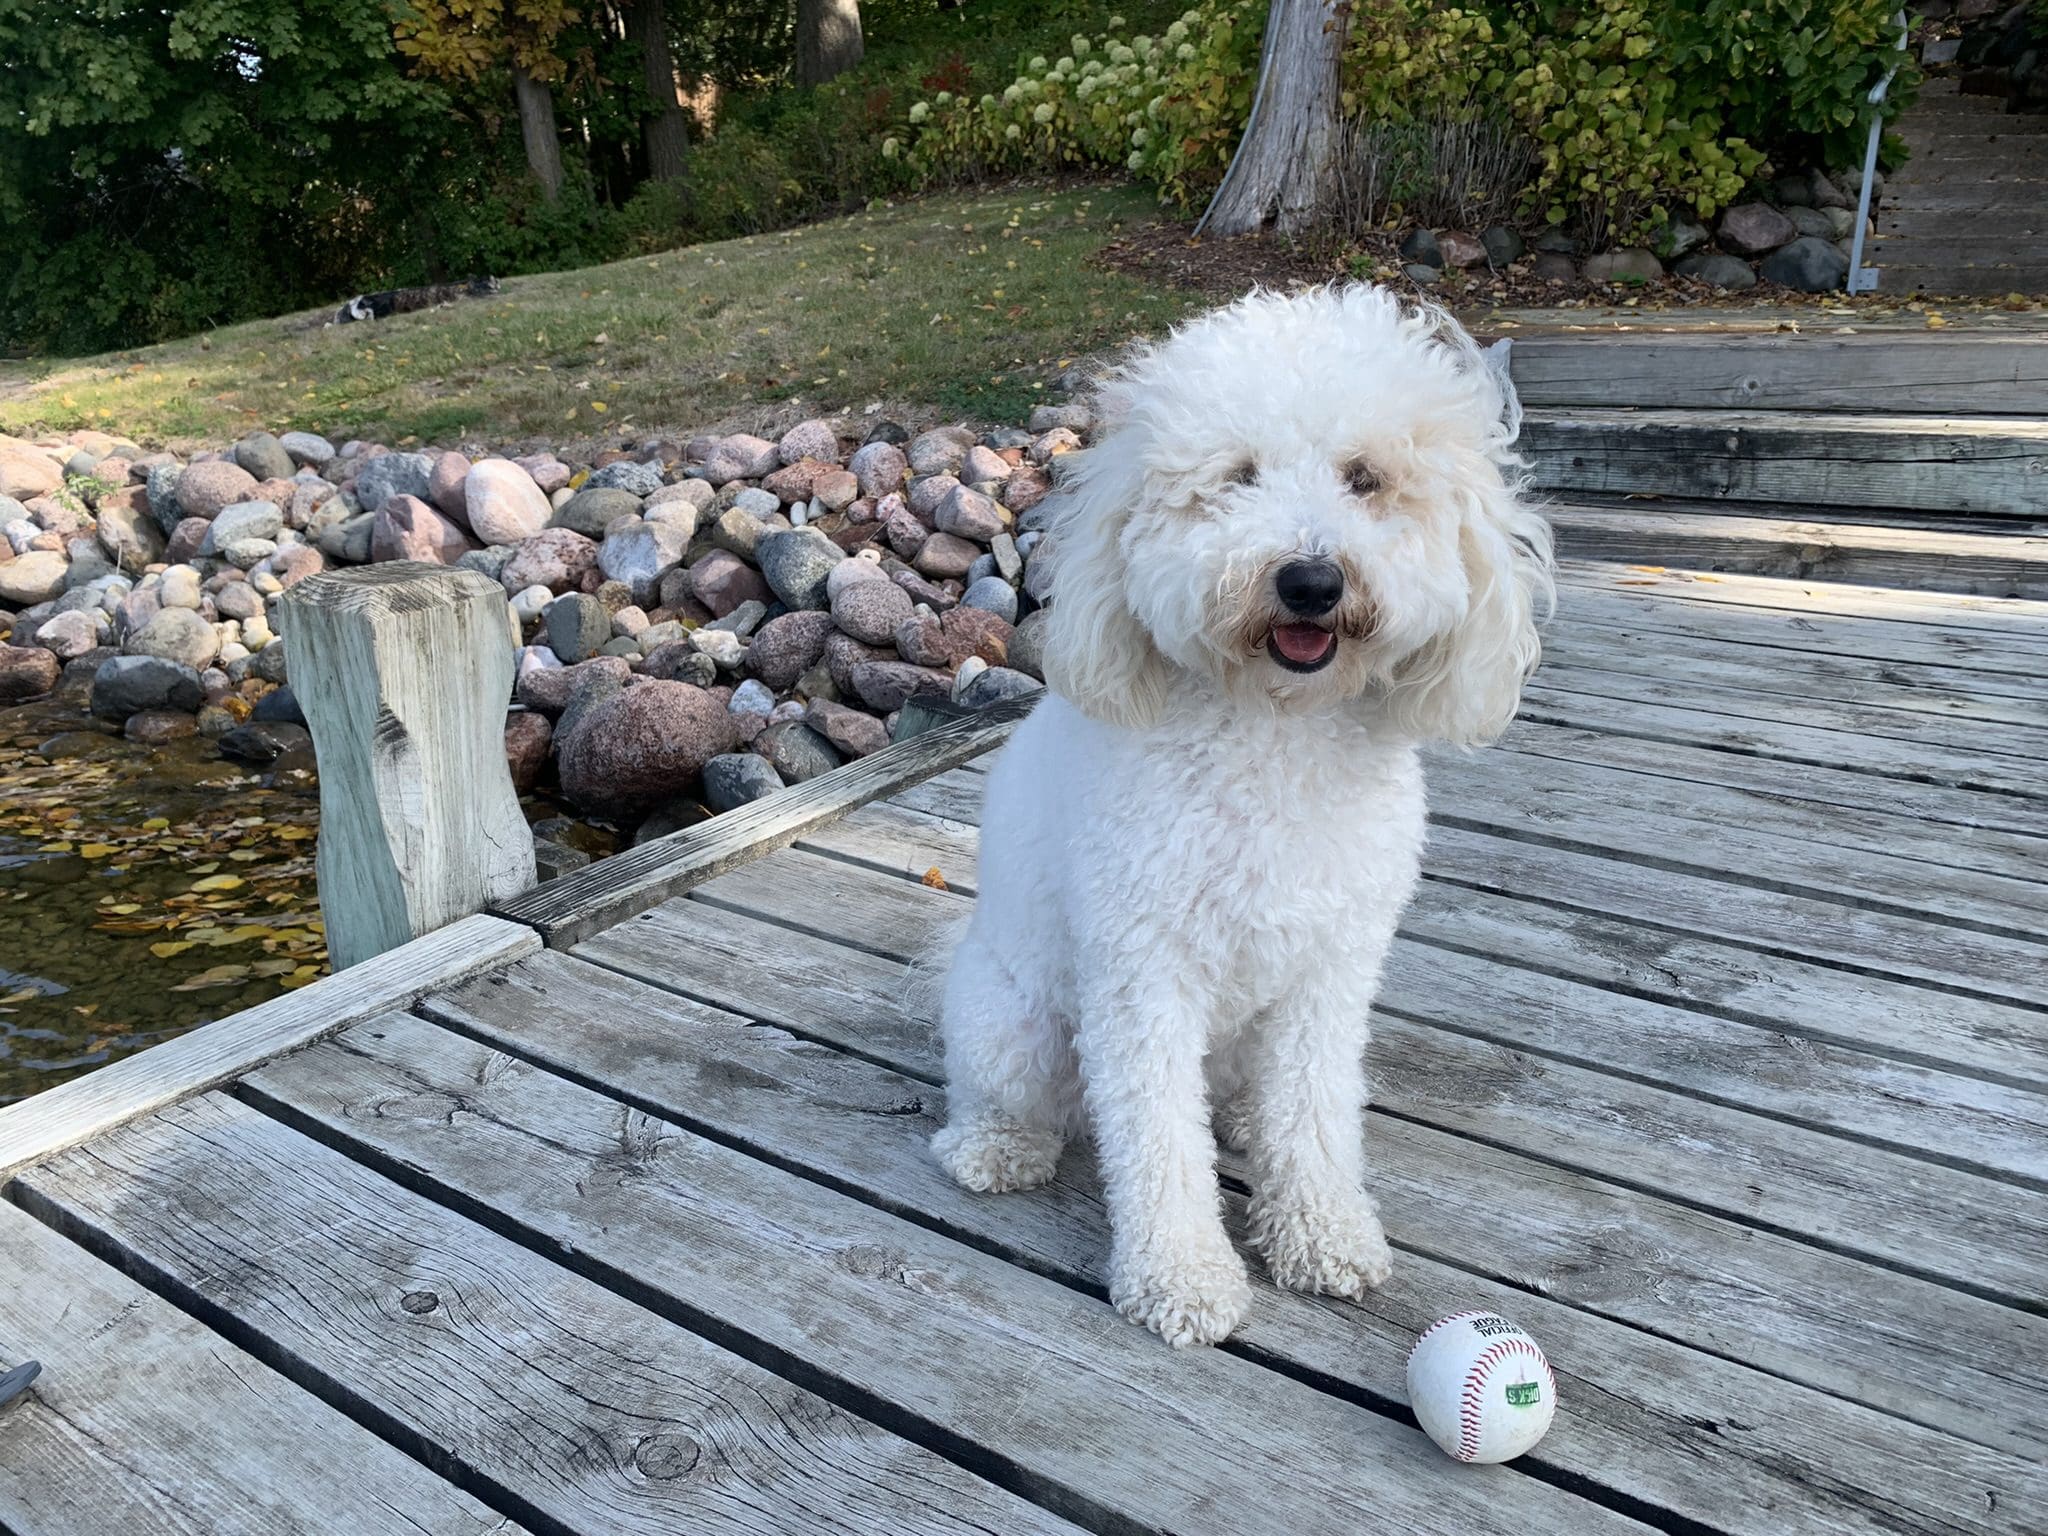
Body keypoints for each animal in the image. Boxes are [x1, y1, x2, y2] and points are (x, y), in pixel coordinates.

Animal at [929, 286, 1548, 1343]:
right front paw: (1181, 1278)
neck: (1274, 729)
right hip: (1013, 1024)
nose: (1311, 580)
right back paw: (997, 1147)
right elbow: (1156, 1140)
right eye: (1237, 477)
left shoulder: (1332, 970)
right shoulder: (1143, 973)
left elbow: (1314, 1111)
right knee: (1011, 1098)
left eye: (1366, 478)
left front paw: (1325, 1233)